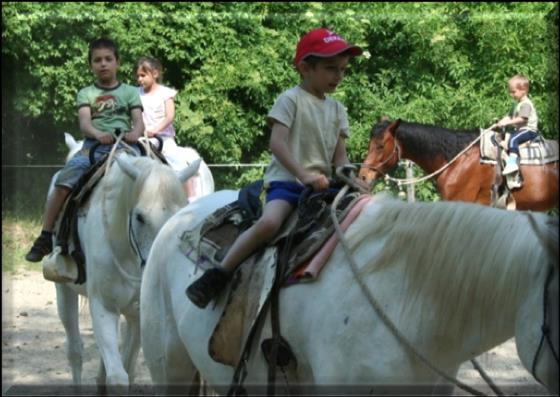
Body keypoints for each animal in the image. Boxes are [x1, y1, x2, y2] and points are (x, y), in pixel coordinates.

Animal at [52, 149, 200, 392]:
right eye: (139, 217)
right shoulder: (103, 307)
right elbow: (118, 378)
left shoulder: (139, 315)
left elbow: (127, 371)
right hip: (64, 291)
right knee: (75, 351)